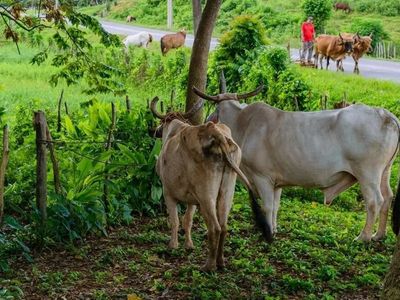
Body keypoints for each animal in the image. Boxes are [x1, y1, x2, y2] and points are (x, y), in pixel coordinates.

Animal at [150, 97, 268, 270]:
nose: (156, 131)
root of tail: (217, 134)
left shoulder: (168, 192)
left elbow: (175, 221)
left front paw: (173, 245)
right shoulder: (193, 199)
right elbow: (188, 221)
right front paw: (189, 245)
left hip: (207, 196)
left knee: (215, 228)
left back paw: (209, 266)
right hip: (227, 192)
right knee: (224, 227)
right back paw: (220, 261)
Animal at [194, 85, 400, 243]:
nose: (206, 121)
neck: (243, 124)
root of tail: (385, 114)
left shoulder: (262, 178)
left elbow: (267, 206)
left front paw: (268, 233)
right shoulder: (276, 182)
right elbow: (276, 206)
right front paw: (274, 228)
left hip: (367, 173)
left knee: (375, 201)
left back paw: (363, 237)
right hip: (384, 171)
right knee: (388, 197)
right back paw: (379, 235)